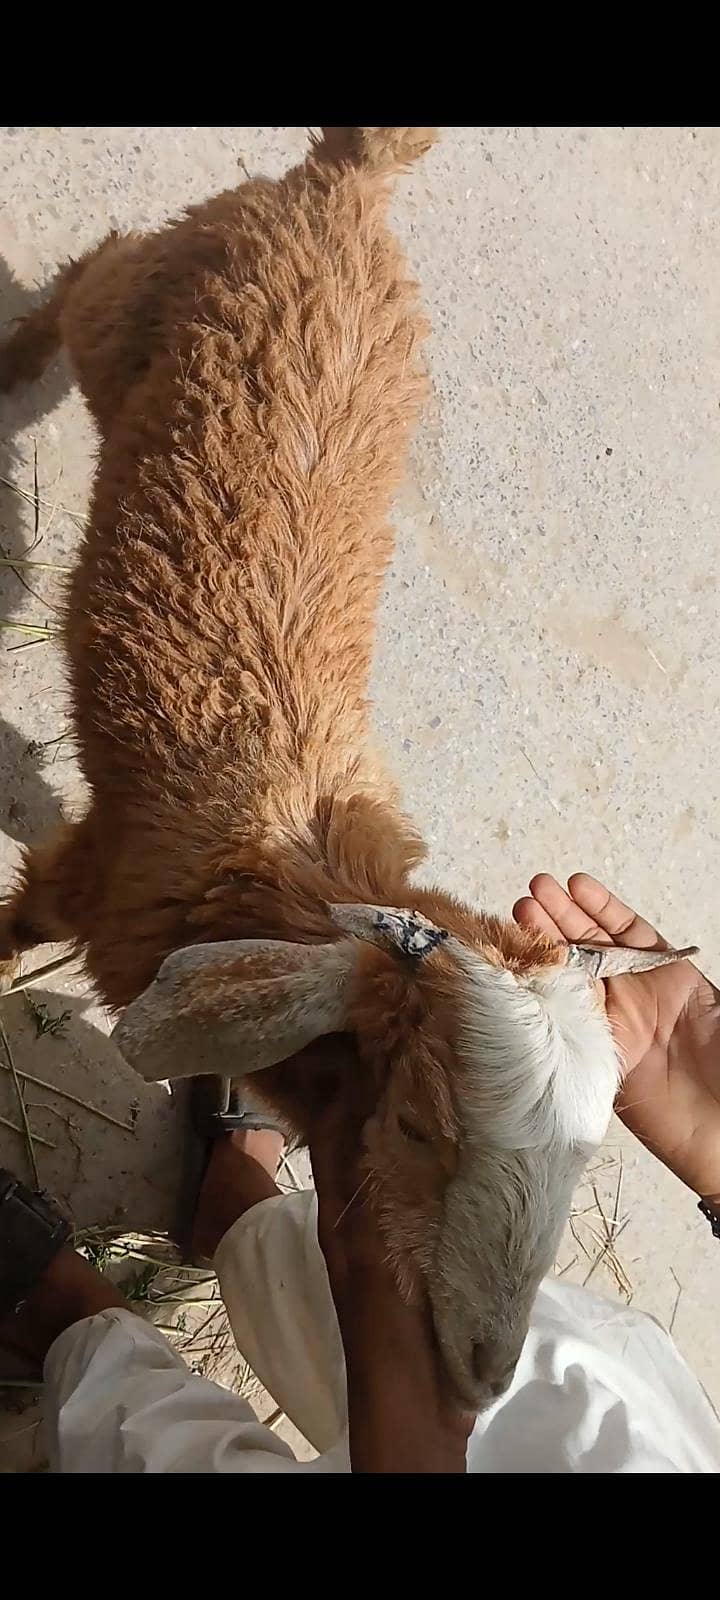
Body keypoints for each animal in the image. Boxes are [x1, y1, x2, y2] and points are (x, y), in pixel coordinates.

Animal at [0, 127, 693, 1409]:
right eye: (421, 1125)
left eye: (585, 1156)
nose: (480, 1376)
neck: (292, 865)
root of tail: (351, 177)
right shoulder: (93, 869)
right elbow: (15, 927)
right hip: (142, 300)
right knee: (92, 275)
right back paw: (13, 365)